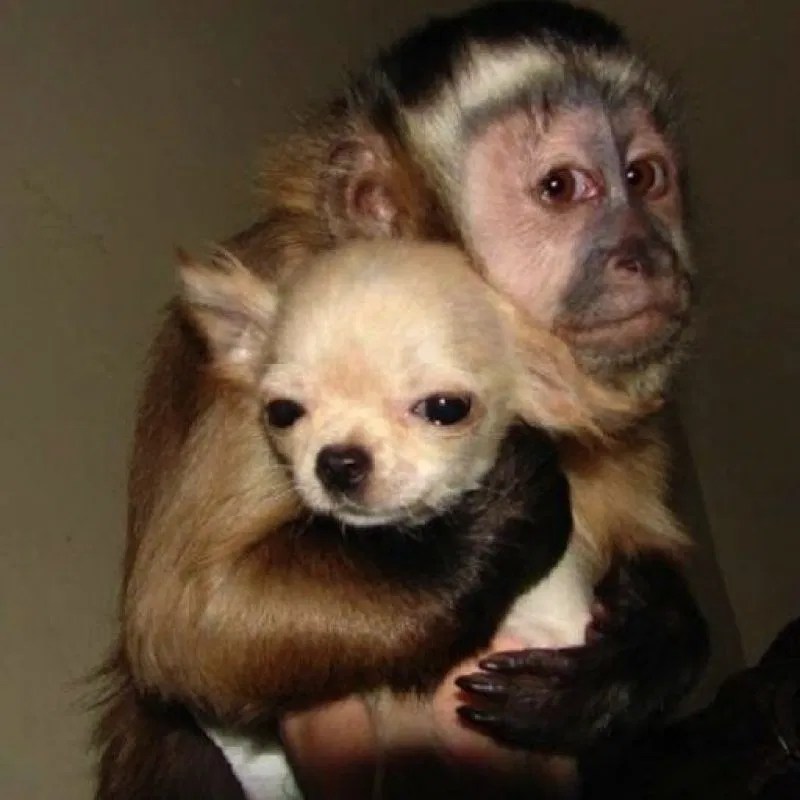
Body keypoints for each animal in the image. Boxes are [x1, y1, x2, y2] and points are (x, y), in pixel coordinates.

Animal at [94, 2, 708, 798]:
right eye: (561, 188)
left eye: (645, 177)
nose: (648, 254)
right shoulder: (288, 284)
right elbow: (191, 621)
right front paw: (497, 527)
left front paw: (650, 645)